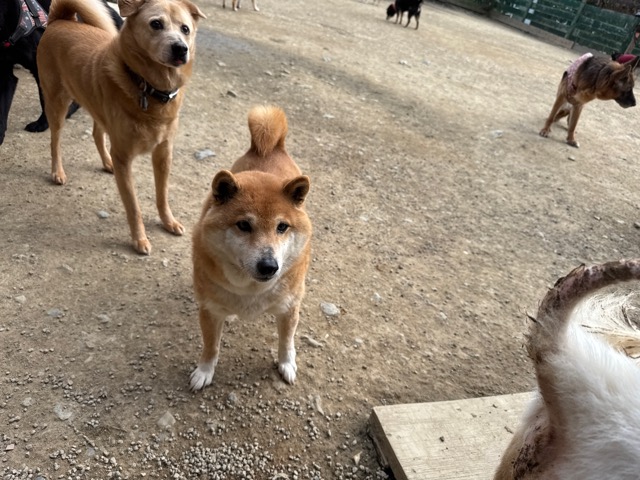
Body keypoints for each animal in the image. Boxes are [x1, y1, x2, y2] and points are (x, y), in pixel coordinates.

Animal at [36, 0, 205, 255]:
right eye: (156, 24)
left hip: (96, 106)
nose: (180, 48)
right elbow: (133, 206)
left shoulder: (164, 153)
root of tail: (61, 20)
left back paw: (107, 163)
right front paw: (139, 239)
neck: (150, 89)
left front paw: (168, 222)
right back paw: (58, 172)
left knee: (97, 133)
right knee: (55, 141)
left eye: (185, 29)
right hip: (57, 104)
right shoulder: (124, 157)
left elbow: (162, 195)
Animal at [190, 105, 312, 391]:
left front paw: (287, 365)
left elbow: (286, 342)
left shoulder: (289, 308)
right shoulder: (209, 310)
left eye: (282, 227)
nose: (269, 266)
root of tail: (268, 148)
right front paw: (204, 371)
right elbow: (211, 347)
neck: (251, 290)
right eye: (244, 225)